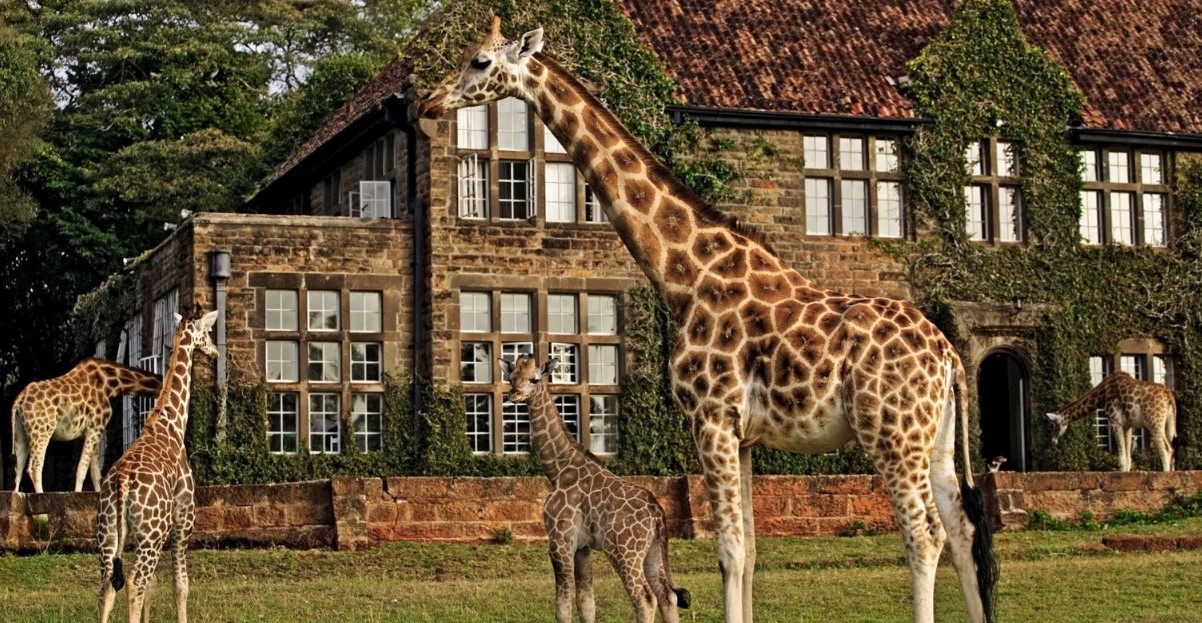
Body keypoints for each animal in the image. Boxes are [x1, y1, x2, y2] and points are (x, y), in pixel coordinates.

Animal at [10, 358, 162, 493]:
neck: (111, 384)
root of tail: (19, 401)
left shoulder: (93, 430)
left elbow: (95, 473)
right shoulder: (96, 426)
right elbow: (82, 469)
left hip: (21, 433)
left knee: (18, 467)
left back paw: (16, 495)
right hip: (43, 429)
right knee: (34, 466)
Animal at [97, 309, 218, 623]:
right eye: (207, 333)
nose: (214, 352)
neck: (171, 422)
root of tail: (122, 484)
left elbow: (153, 587)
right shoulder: (182, 519)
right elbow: (180, 585)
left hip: (109, 534)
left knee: (108, 584)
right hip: (152, 534)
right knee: (134, 582)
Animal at [500, 355, 690, 623]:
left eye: (534, 379)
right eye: (511, 377)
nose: (514, 394)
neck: (557, 470)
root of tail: (657, 514)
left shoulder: (560, 539)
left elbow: (563, 608)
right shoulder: (583, 546)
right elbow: (586, 604)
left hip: (624, 552)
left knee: (645, 599)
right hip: (652, 551)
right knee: (667, 596)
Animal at [1047, 370, 1176, 472]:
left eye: (1054, 424)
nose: (1052, 441)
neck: (1103, 394)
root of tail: (1169, 395)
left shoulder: (1115, 421)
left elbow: (1122, 459)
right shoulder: (1127, 425)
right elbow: (1128, 459)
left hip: (1154, 422)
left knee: (1167, 449)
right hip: (1168, 425)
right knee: (1172, 449)